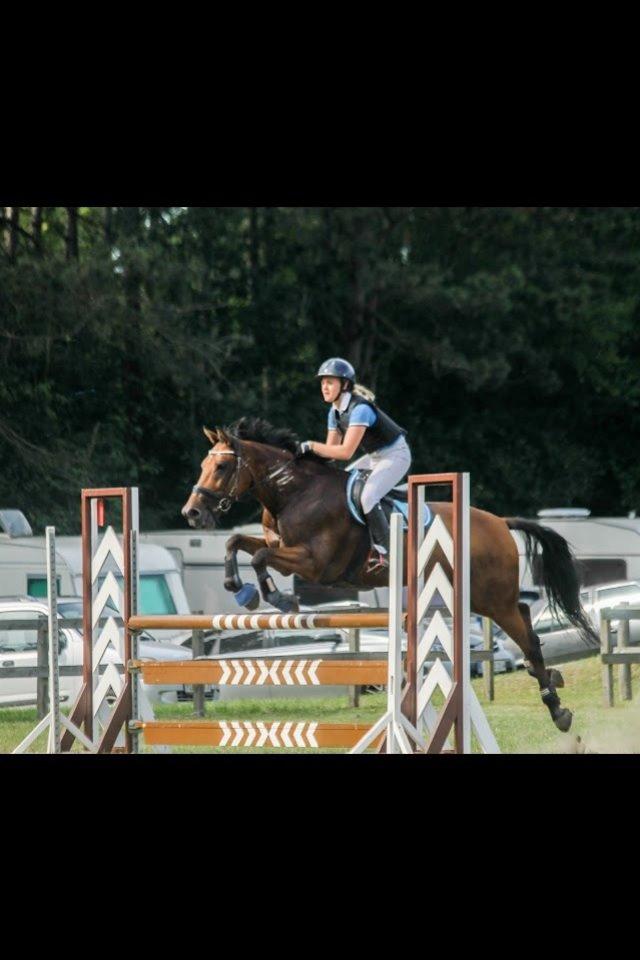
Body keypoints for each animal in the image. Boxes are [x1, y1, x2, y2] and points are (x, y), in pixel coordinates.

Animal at [181, 416, 600, 732]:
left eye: (221, 466)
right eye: (202, 465)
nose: (192, 513)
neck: (293, 493)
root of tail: (499, 522)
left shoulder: (316, 563)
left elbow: (260, 556)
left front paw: (272, 596)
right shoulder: (283, 549)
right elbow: (238, 542)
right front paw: (237, 586)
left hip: (492, 598)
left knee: (526, 637)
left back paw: (558, 709)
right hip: (484, 597)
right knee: (527, 619)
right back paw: (550, 680)